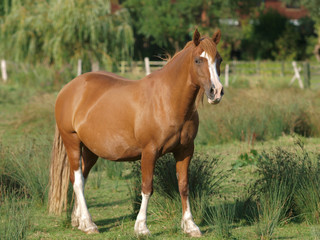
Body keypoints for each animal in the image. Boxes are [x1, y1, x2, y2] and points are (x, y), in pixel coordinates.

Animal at [48, 29, 222, 237]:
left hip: (90, 150)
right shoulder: (149, 152)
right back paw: (89, 224)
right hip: (72, 142)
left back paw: (79, 220)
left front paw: (190, 226)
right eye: (198, 60)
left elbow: (184, 186)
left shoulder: (185, 151)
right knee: (78, 181)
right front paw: (141, 227)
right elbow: (147, 188)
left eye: (219, 59)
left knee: (81, 177)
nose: (216, 92)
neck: (167, 100)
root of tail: (68, 89)